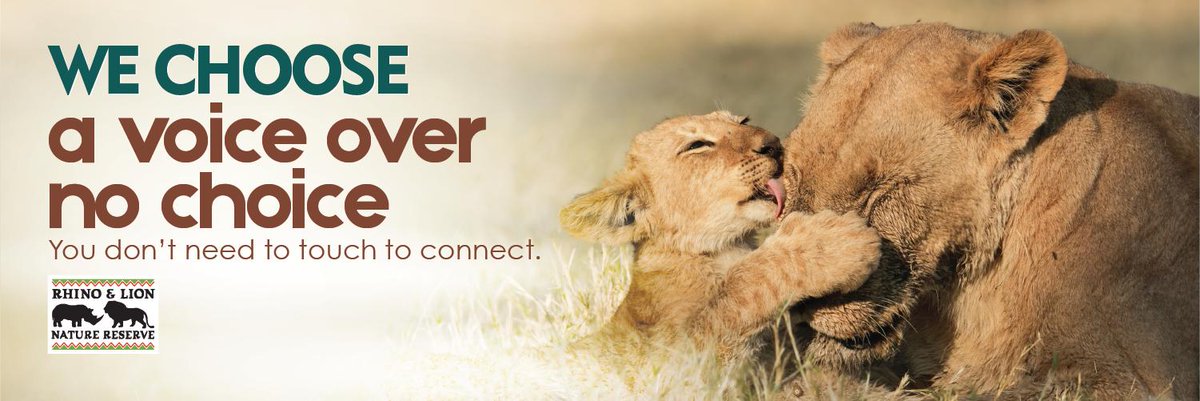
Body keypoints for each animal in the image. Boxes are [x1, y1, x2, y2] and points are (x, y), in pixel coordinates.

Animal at [560, 111, 881, 360]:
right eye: (697, 145)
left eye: (743, 120)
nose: (774, 144)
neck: (723, 249)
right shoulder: (675, 365)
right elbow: (741, 291)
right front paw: (830, 244)